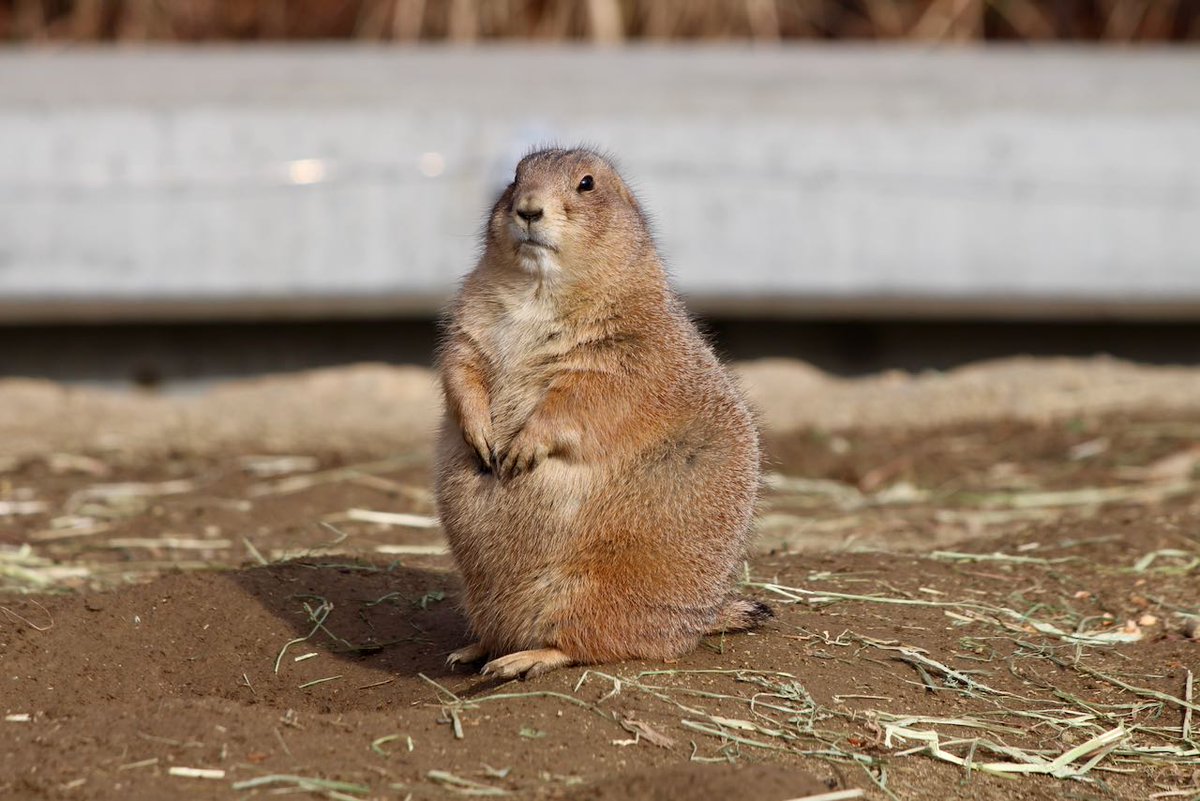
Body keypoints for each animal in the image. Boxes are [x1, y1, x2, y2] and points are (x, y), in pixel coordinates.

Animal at [434, 147, 769, 679]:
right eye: (514, 178)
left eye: (587, 183)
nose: (527, 208)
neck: (537, 289)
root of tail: (702, 621)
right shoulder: (468, 318)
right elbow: (460, 364)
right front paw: (482, 436)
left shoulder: (626, 346)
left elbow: (588, 396)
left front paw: (521, 449)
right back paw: (473, 650)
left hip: (596, 592)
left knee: (592, 643)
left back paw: (521, 659)